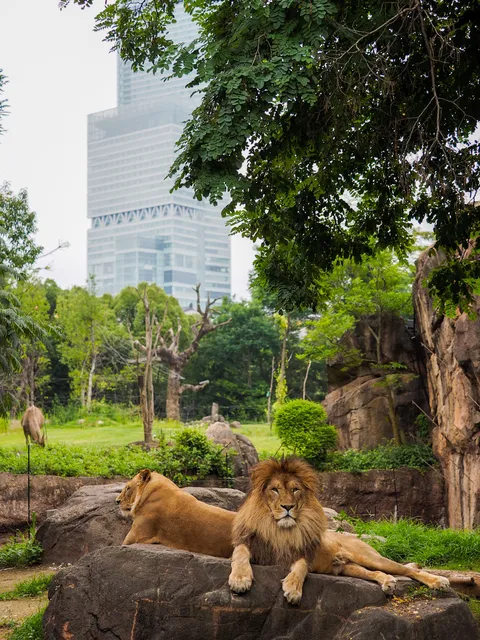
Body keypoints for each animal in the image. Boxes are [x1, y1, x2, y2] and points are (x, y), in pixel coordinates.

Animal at [229, 457, 450, 604]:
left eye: (295, 489)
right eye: (274, 490)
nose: (287, 507)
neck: (279, 529)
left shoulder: (303, 554)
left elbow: (300, 568)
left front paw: (293, 588)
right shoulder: (252, 545)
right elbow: (239, 554)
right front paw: (240, 579)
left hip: (369, 556)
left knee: (408, 569)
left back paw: (438, 581)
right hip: (349, 568)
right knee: (376, 572)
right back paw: (387, 582)